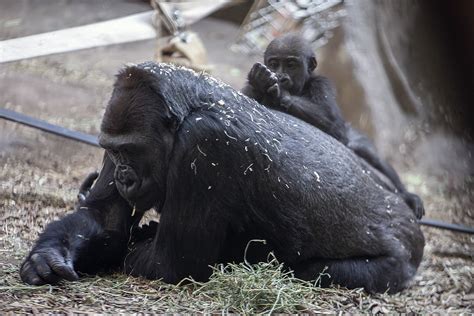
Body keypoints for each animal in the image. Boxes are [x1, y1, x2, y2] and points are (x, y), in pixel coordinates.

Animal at [19, 61, 426, 294]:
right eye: (114, 151)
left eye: (132, 152)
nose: (123, 177)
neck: (188, 109)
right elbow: (105, 220)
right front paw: (47, 255)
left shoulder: (206, 141)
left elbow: (168, 264)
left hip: (401, 260)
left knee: (317, 271)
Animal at [243, 33, 424, 218]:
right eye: (274, 64)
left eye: (291, 65)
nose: (280, 76)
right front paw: (260, 80)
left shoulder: (322, 84)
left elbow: (330, 119)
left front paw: (280, 92)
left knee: (367, 151)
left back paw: (407, 195)